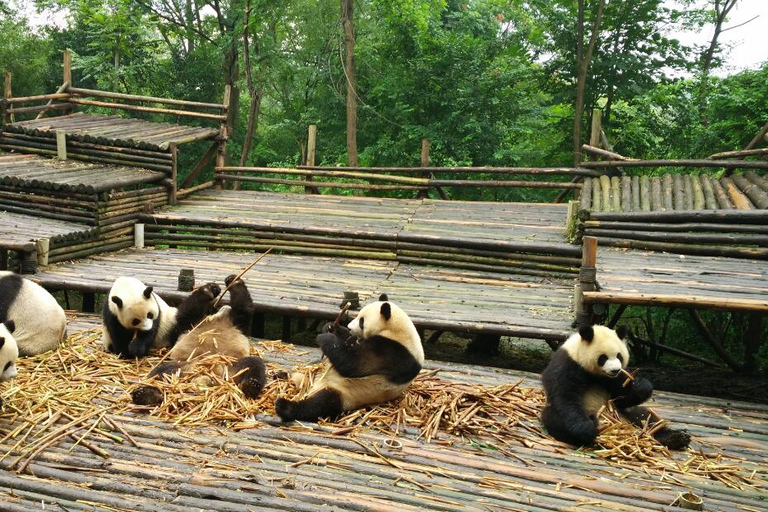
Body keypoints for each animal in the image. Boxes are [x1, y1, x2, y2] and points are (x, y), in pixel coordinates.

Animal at [131, 275, 266, 406]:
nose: (225, 307)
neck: (218, 319)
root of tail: (206, 376)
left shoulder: (238, 325)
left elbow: (243, 309)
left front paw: (233, 282)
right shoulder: (192, 325)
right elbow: (188, 312)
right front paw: (211, 289)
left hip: (232, 367)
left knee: (254, 365)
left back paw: (251, 386)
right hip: (183, 367)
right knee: (160, 373)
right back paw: (147, 394)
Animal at [275, 294, 424, 423]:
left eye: (362, 321)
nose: (350, 327)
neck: (397, 331)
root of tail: (311, 388)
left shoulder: (394, 353)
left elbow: (353, 364)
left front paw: (327, 338)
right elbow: (348, 343)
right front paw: (331, 327)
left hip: (346, 393)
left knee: (322, 403)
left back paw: (284, 406)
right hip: (311, 377)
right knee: (301, 375)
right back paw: (280, 375)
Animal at [541, 324, 690, 450]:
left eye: (619, 356)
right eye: (603, 358)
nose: (615, 370)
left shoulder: (614, 379)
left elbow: (622, 397)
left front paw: (642, 386)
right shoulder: (567, 364)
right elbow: (565, 396)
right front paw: (586, 429)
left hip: (624, 413)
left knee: (646, 416)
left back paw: (676, 438)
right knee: (554, 419)